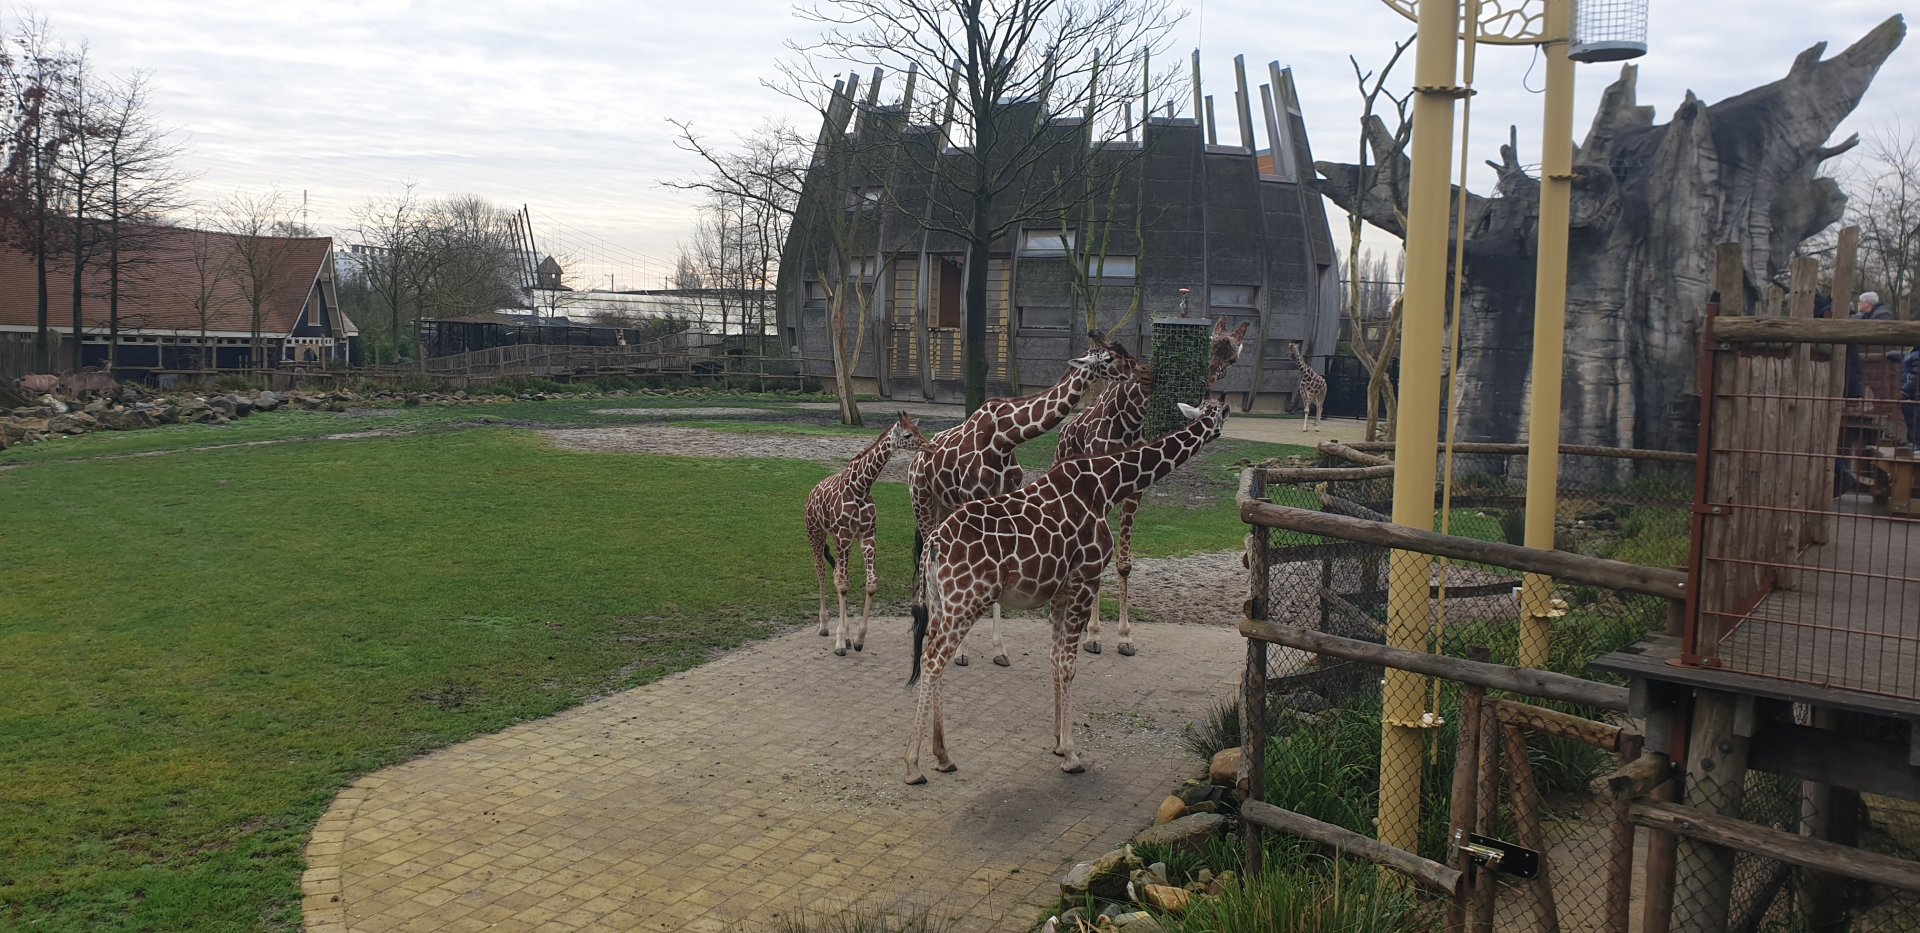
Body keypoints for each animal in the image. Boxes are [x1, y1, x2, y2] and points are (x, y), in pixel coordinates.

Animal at [806, 412, 928, 656]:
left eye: (918, 430)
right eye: (908, 435)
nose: (930, 446)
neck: (861, 487)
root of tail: (812, 493)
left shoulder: (866, 536)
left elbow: (869, 584)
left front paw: (858, 638)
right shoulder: (844, 536)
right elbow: (844, 585)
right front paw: (840, 643)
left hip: (839, 540)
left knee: (836, 574)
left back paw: (846, 634)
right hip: (816, 534)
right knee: (822, 571)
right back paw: (824, 626)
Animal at [903, 400, 1230, 784]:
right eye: (1218, 414)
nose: (1219, 424)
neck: (1106, 486)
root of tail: (933, 545)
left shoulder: (1060, 591)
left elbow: (1054, 659)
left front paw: (1058, 742)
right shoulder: (1085, 579)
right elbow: (1069, 665)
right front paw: (1072, 755)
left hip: (943, 601)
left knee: (929, 652)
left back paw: (943, 756)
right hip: (967, 600)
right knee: (932, 660)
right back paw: (913, 765)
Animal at [909, 347, 1125, 667]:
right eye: (1107, 358)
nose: (1135, 371)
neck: (1006, 437)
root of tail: (916, 459)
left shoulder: (1003, 496)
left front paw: (999, 650)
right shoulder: (973, 496)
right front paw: (961, 652)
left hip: (944, 506)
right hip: (921, 499)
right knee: (924, 550)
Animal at [1066, 318, 1247, 657]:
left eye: (1232, 358)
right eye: (1208, 344)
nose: (1208, 390)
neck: (1129, 420)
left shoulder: (1134, 494)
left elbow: (1124, 564)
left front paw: (1125, 637)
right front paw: (1094, 635)